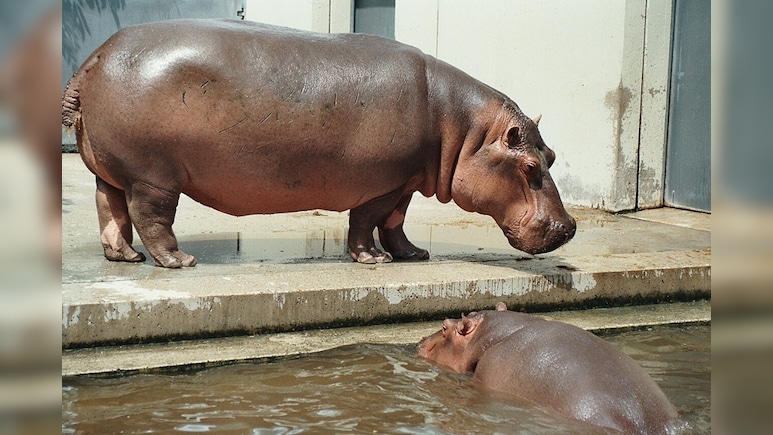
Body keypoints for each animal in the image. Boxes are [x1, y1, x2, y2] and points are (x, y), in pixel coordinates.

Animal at [61, 19, 575, 268]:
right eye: (531, 167)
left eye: (552, 155)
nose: (569, 228)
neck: (466, 131)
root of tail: (88, 63)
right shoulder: (382, 183)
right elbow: (366, 222)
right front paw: (374, 261)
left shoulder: (405, 182)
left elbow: (396, 223)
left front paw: (414, 255)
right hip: (153, 176)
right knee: (150, 217)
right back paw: (179, 262)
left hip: (109, 171)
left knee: (110, 212)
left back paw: (124, 257)